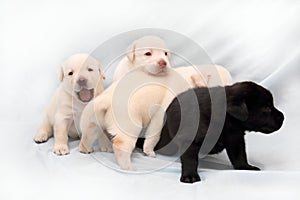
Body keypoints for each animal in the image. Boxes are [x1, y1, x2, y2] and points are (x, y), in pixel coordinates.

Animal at [152, 81, 284, 183]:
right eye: (267, 108)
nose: (283, 117)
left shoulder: (236, 139)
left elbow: (240, 156)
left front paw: (245, 167)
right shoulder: (190, 140)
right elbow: (190, 160)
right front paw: (190, 175)